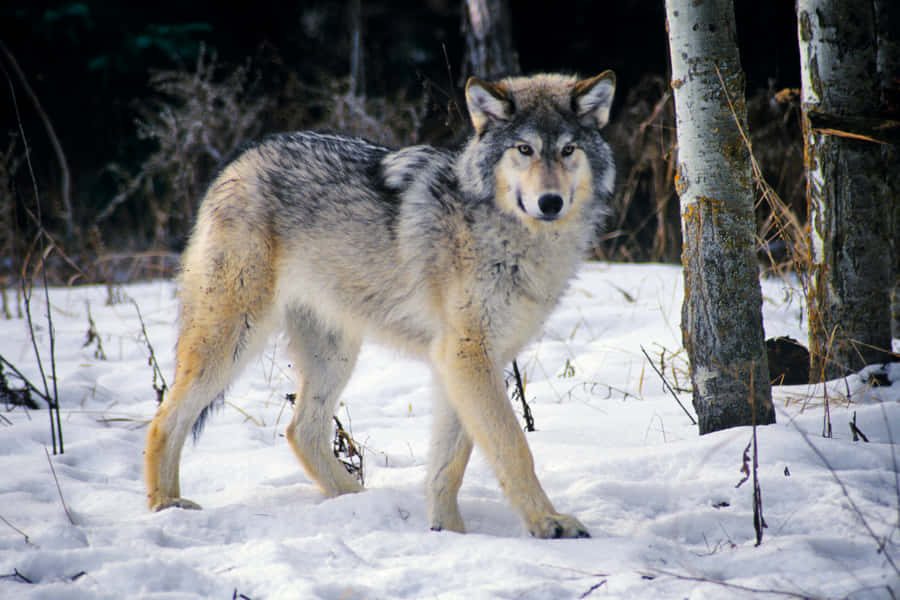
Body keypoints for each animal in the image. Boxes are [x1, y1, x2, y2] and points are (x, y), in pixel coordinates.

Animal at [144, 71, 616, 538]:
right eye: (525, 149)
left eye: (568, 150)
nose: (550, 202)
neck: (515, 237)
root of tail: (240, 158)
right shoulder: (468, 355)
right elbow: (513, 447)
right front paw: (549, 523)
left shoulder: (466, 361)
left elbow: (450, 464)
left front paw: (448, 532)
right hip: (232, 339)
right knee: (164, 417)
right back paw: (166, 505)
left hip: (334, 354)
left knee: (301, 430)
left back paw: (356, 500)